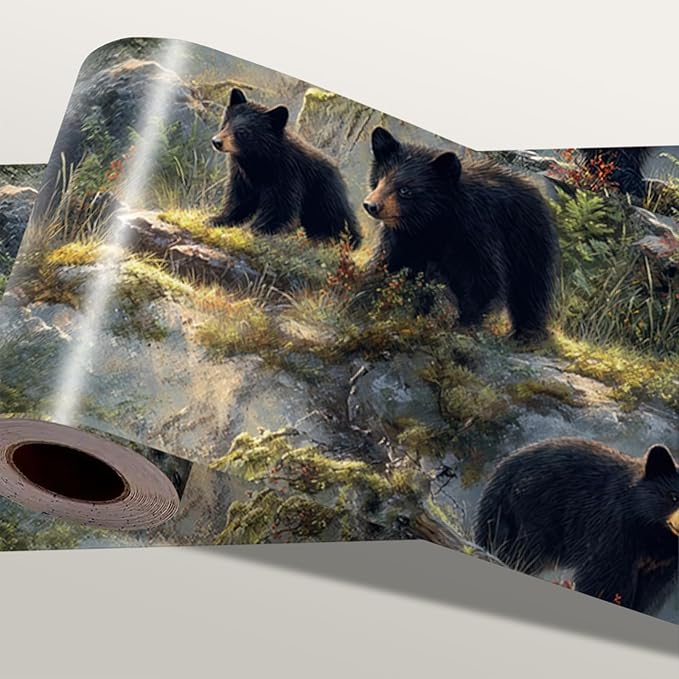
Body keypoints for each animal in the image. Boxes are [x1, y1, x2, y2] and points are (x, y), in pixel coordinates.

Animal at [210, 88, 361, 248]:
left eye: (243, 132)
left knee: (335, 221)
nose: (216, 142)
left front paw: (255, 230)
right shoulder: (242, 174)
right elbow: (240, 198)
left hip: (326, 198)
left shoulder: (288, 174)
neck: (258, 160)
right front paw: (217, 219)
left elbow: (280, 205)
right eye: (226, 123)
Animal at [363, 127, 559, 339]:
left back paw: (527, 332)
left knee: (530, 286)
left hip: (528, 240)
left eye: (405, 190)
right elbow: (391, 262)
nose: (371, 205)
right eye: (380, 179)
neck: (432, 222)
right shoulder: (404, 236)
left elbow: (484, 277)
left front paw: (464, 323)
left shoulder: (474, 230)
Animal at [474, 438, 679, 615]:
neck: (653, 534)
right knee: (520, 551)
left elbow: (652, 592)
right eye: (674, 496)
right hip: (534, 511)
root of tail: (503, 470)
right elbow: (604, 576)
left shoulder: (665, 564)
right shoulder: (615, 529)